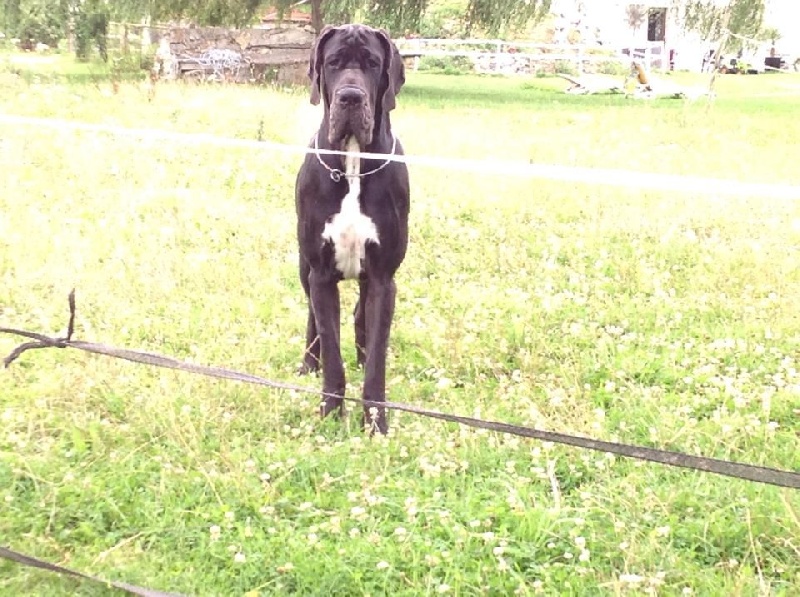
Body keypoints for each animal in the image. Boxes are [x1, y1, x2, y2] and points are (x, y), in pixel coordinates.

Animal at [295, 24, 409, 434]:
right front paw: (330, 411)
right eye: (333, 63)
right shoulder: (321, 274)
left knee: (361, 315)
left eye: (373, 64)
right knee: (312, 319)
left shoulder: (382, 278)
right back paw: (308, 363)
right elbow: (330, 345)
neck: (355, 161)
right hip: (304, 267)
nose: (350, 96)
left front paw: (375, 421)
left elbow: (377, 354)